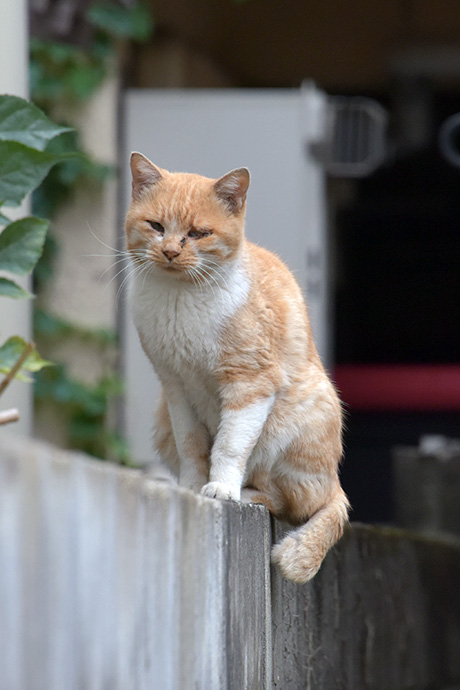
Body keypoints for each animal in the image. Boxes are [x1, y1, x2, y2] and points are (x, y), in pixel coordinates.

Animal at [125, 153, 348, 584]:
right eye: (156, 226)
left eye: (198, 233)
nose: (170, 251)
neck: (179, 299)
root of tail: (336, 484)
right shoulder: (176, 388)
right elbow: (193, 445)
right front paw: (191, 486)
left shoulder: (250, 383)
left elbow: (229, 445)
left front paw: (221, 489)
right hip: (162, 420)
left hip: (296, 416)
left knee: (292, 502)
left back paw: (245, 494)